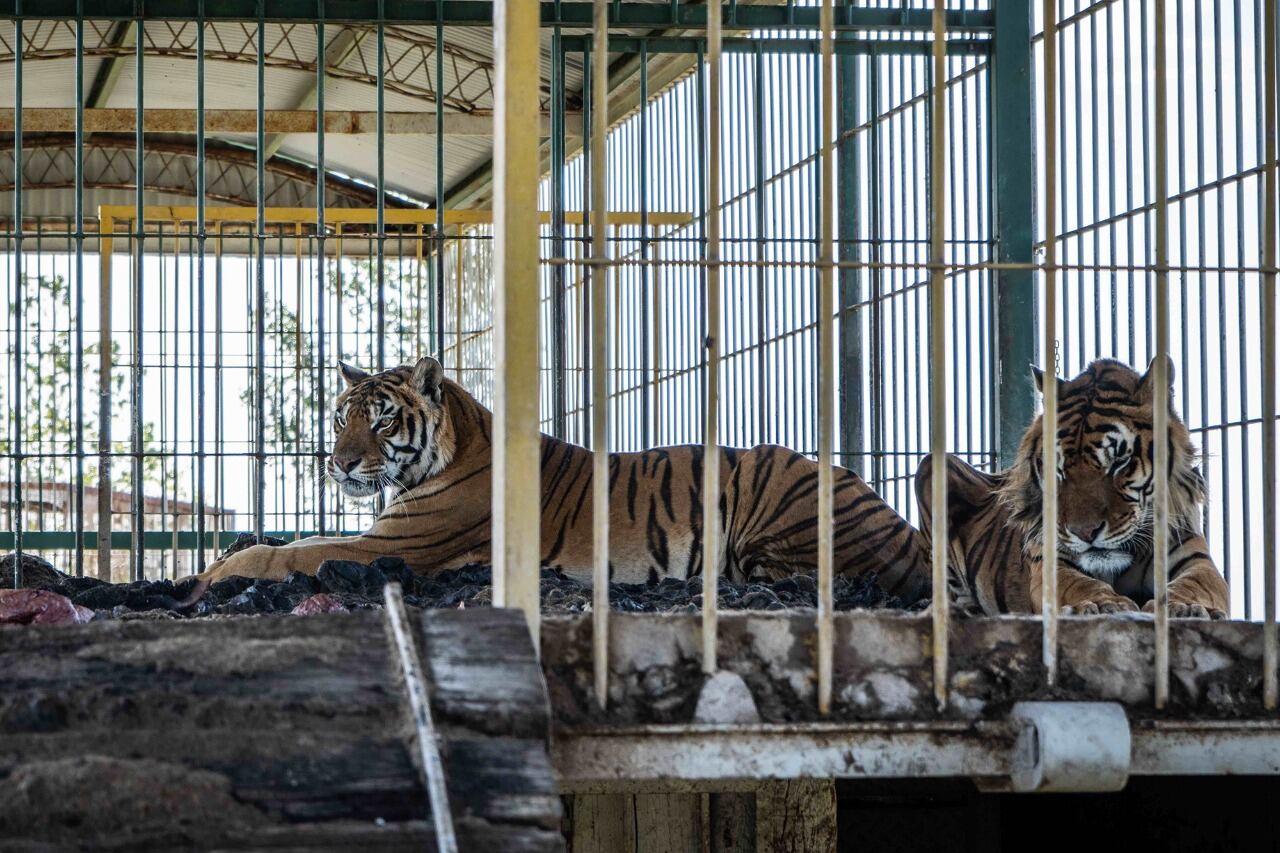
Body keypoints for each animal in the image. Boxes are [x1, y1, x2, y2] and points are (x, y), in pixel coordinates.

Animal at [187, 356, 932, 604]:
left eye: (380, 421)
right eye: (341, 417)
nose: (338, 462)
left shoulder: (389, 546)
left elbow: (289, 552)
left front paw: (213, 572)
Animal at [915, 357, 1228, 618]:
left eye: (1119, 461)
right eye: (1059, 468)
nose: (1085, 533)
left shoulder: (1194, 557)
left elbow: (1197, 583)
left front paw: (1186, 607)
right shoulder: (1051, 561)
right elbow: (1079, 584)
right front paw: (1104, 603)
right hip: (932, 466)